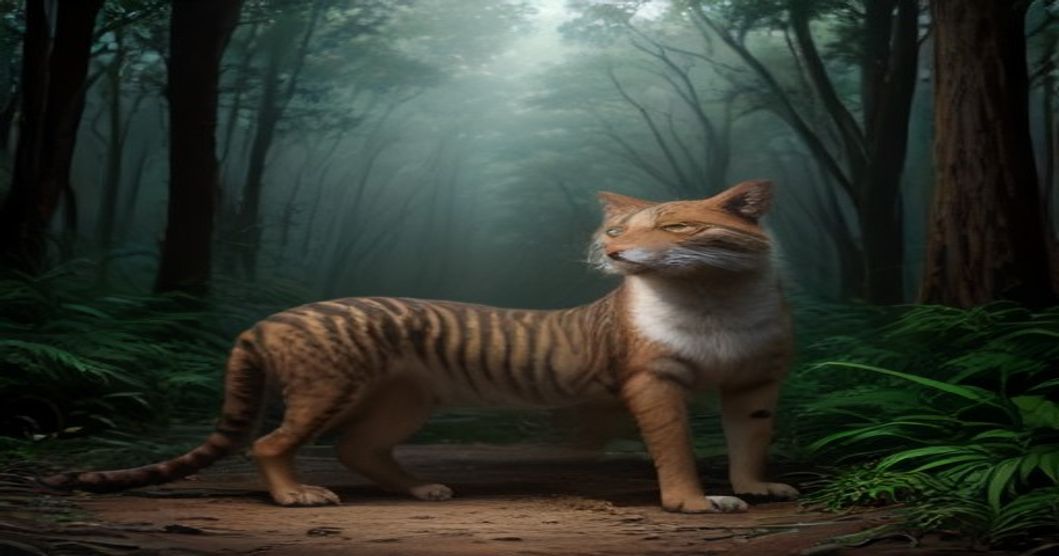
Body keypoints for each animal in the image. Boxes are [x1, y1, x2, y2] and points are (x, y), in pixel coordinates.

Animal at [43, 179, 798, 514]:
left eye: (675, 225)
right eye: (615, 229)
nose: (613, 251)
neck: (715, 296)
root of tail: (265, 319)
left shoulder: (756, 381)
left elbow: (751, 438)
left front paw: (757, 487)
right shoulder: (653, 379)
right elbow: (674, 446)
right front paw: (696, 503)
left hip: (402, 397)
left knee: (360, 447)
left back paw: (421, 489)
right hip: (329, 387)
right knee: (271, 442)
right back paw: (298, 497)